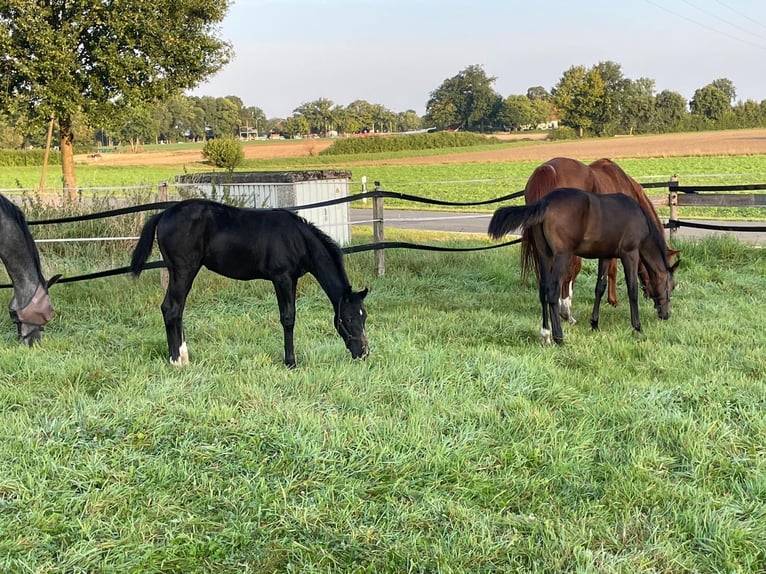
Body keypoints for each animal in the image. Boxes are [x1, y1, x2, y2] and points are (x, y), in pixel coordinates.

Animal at [130, 199, 370, 368]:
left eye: (364, 316)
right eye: (348, 318)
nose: (363, 352)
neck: (298, 239)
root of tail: (163, 214)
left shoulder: (291, 280)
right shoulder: (281, 278)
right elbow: (288, 318)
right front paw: (290, 362)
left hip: (178, 271)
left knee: (175, 309)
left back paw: (183, 356)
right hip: (184, 271)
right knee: (172, 309)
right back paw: (176, 361)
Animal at [488, 188, 680, 346]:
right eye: (671, 286)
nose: (666, 315)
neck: (640, 218)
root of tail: (545, 202)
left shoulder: (605, 256)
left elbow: (600, 287)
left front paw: (594, 324)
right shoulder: (630, 254)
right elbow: (632, 290)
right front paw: (637, 327)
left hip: (544, 255)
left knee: (543, 291)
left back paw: (546, 334)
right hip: (562, 257)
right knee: (552, 291)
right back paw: (559, 337)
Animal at [520, 158, 680, 324]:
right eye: (672, 286)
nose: (665, 314)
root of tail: (547, 170)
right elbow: (612, 270)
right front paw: (613, 300)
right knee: (569, 272)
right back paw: (567, 313)